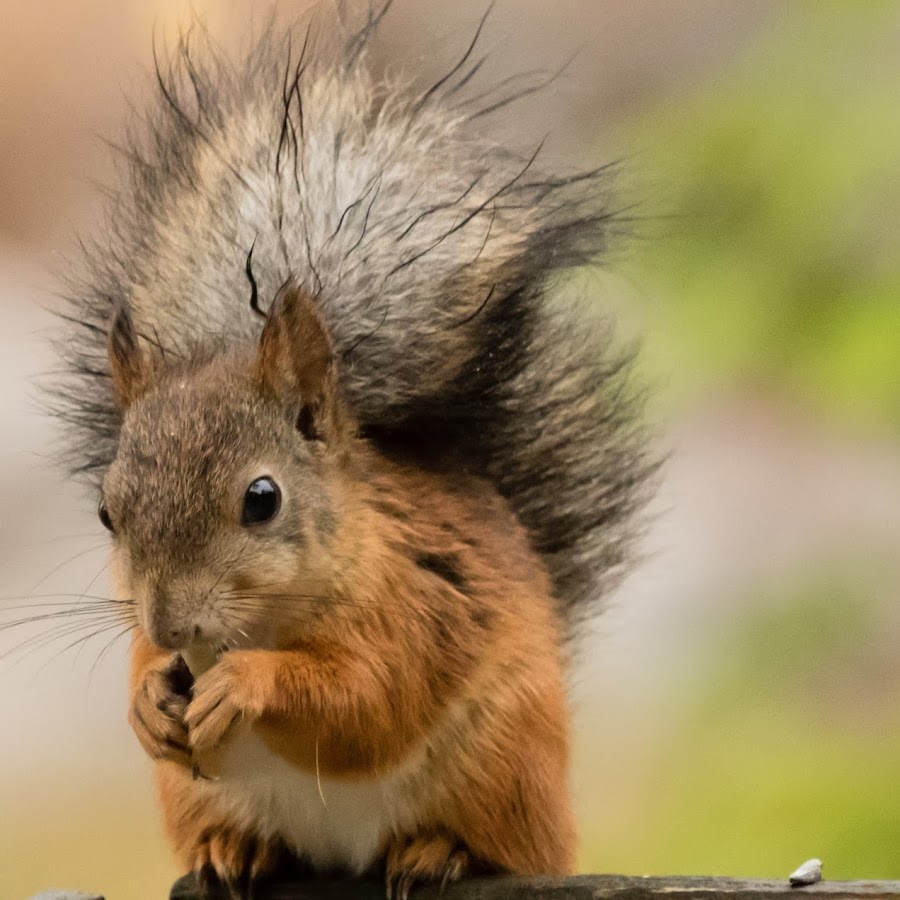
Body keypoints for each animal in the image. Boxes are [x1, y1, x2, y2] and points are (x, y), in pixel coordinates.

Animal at [49, 3, 652, 896]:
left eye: (262, 500)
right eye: (104, 512)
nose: (168, 619)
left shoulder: (416, 606)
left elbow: (365, 703)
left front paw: (247, 684)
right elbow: (148, 671)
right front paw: (148, 699)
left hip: (502, 766)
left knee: (500, 840)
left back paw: (440, 851)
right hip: (194, 797)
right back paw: (233, 849)